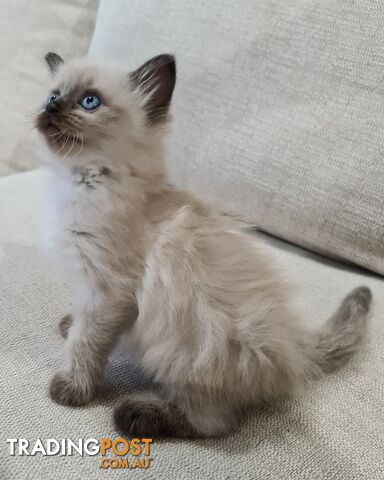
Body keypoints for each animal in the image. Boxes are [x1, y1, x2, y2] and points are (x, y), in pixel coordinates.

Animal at [36, 52, 372, 438]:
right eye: (53, 95)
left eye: (89, 101)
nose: (51, 106)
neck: (82, 182)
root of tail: (294, 347)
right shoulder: (89, 287)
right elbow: (79, 325)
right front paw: (68, 325)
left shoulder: (107, 294)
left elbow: (85, 344)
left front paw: (71, 388)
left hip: (183, 353)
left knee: (212, 422)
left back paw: (136, 415)